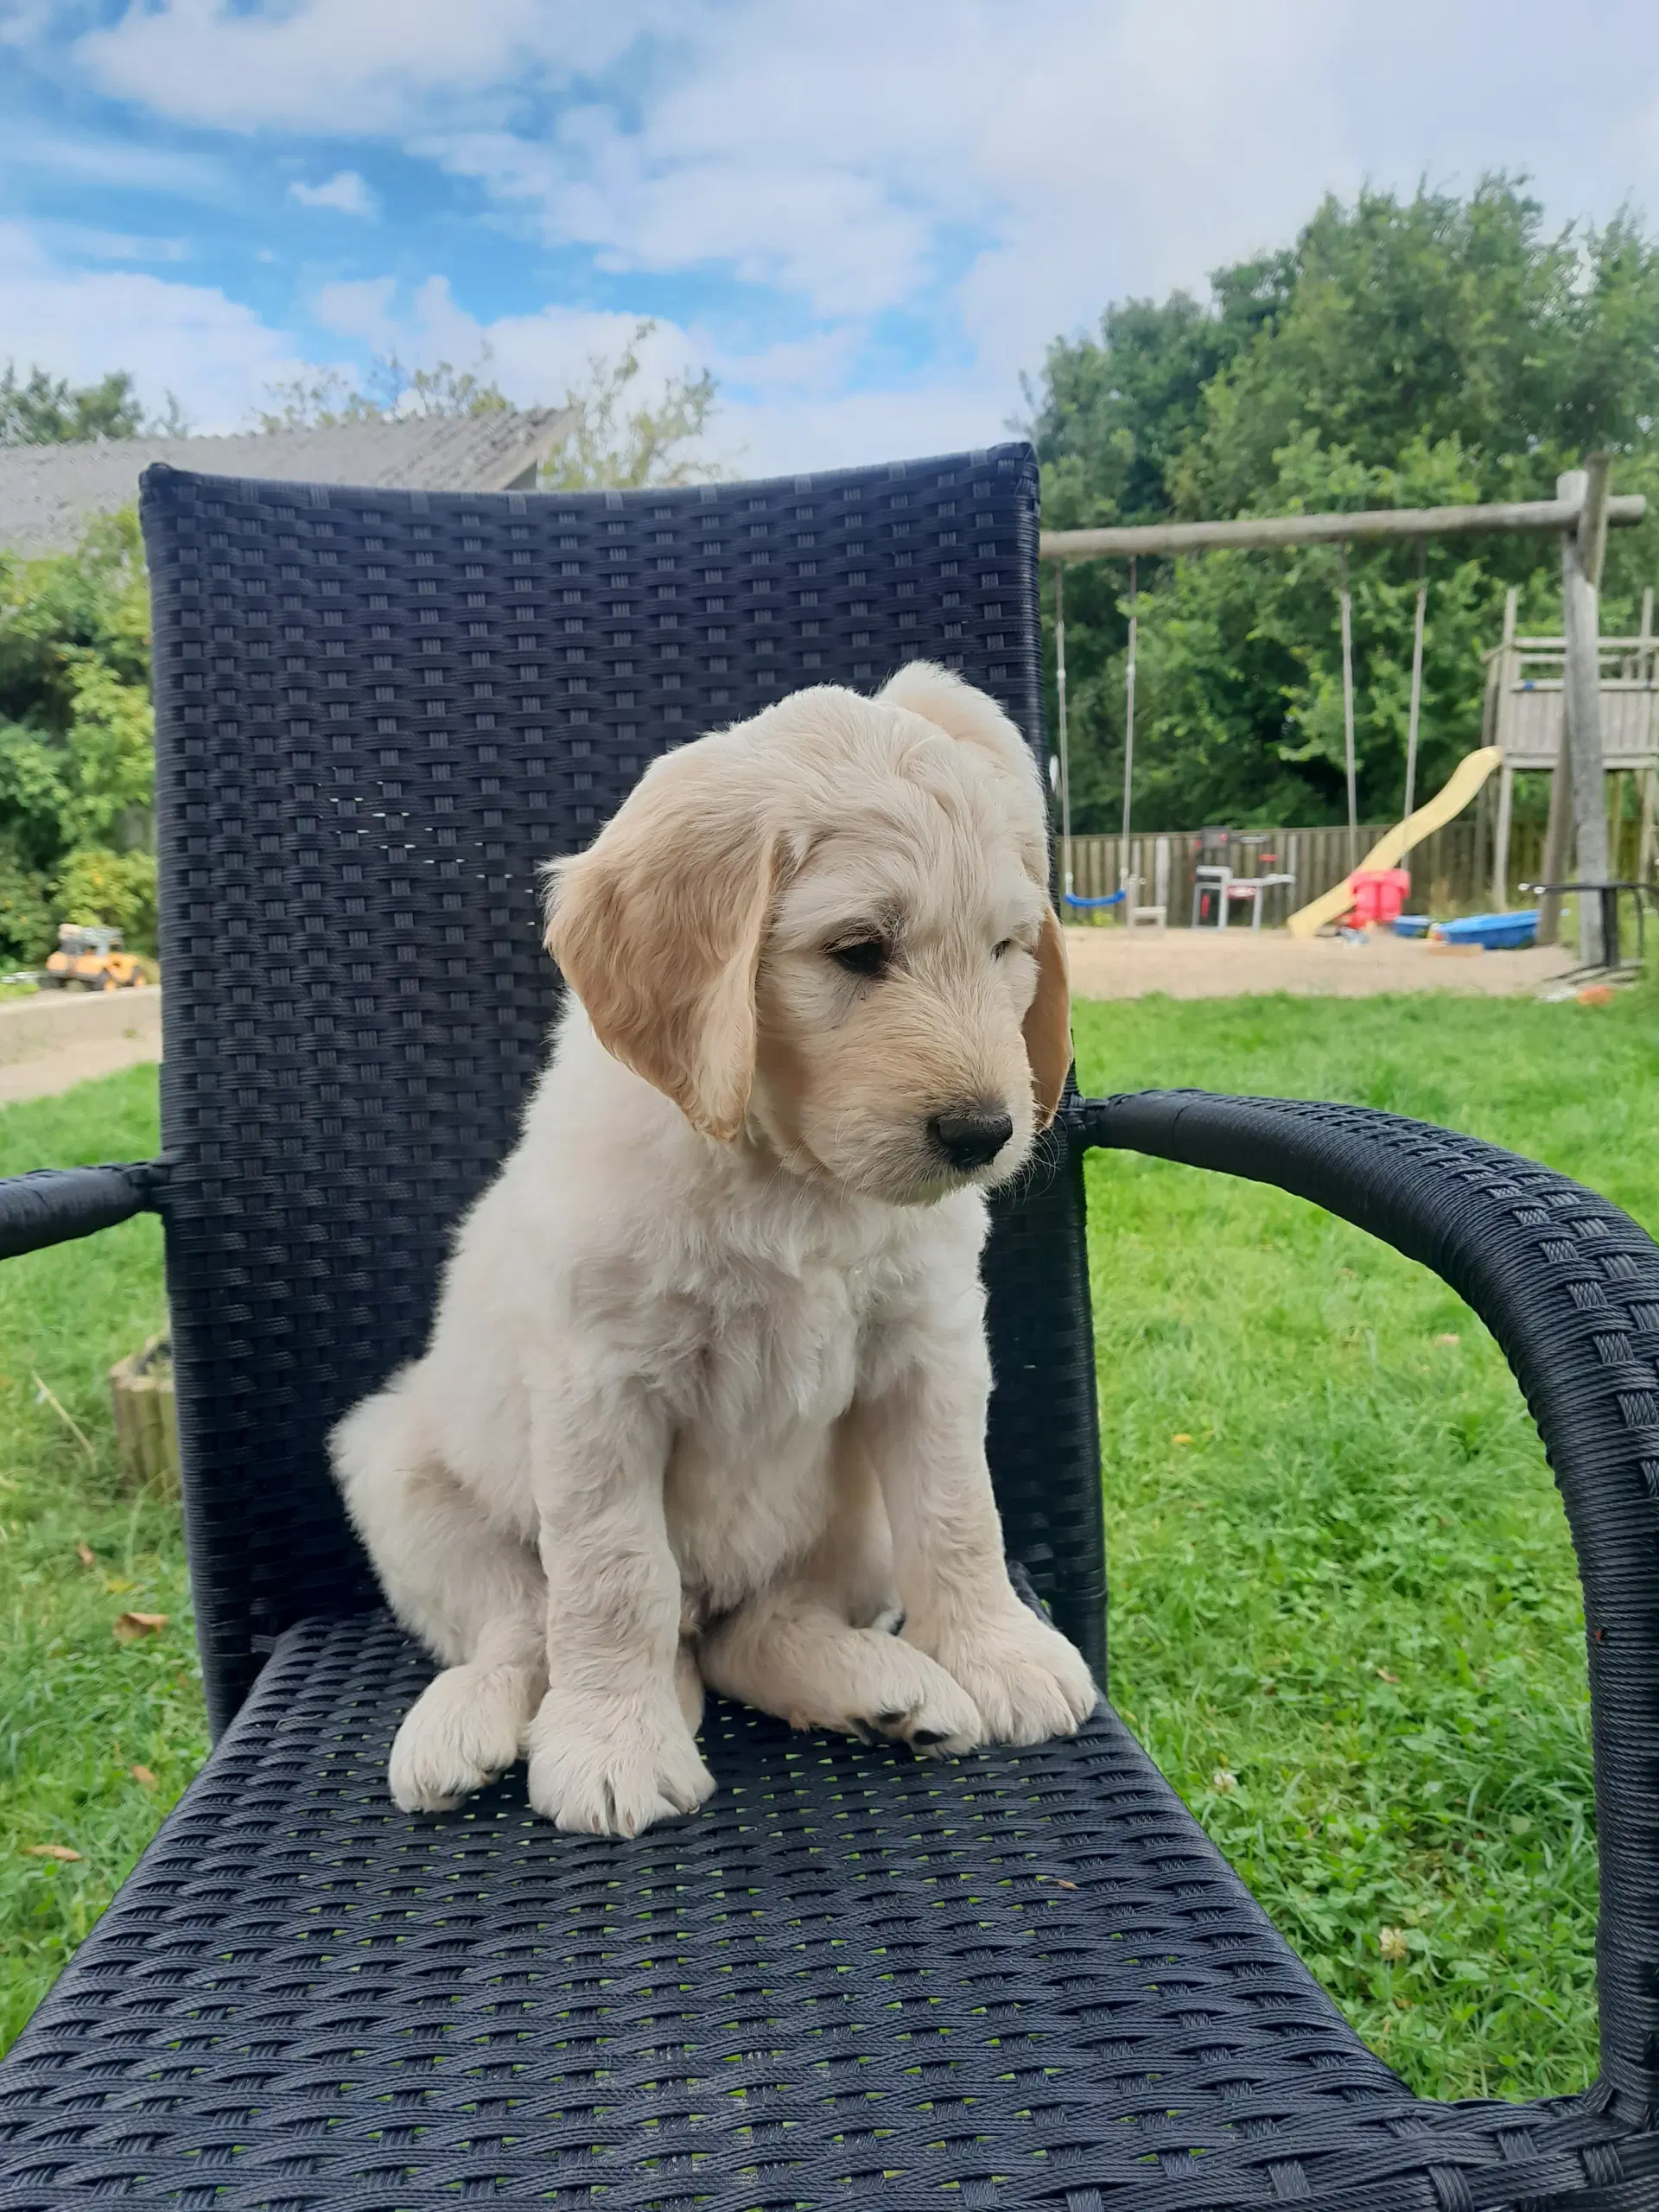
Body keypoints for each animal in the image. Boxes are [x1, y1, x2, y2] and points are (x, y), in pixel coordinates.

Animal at [332, 654, 1096, 1831]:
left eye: (1006, 950)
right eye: (858, 951)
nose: (983, 1133)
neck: (788, 1176)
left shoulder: (926, 1351)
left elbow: (962, 1509)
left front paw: (1000, 1654)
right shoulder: (599, 1388)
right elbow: (612, 1575)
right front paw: (611, 1743)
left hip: (850, 1527)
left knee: (755, 1632)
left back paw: (884, 1688)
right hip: (395, 1468)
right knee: (523, 1629)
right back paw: (466, 1727)